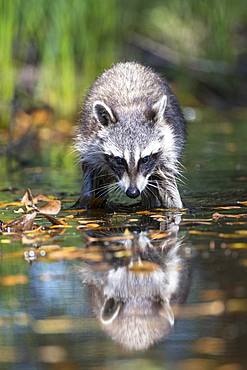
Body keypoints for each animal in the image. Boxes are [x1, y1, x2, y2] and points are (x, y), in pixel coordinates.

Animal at [74, 62, 186, 210]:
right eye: (119, 160)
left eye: (145, 159)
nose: (133, 192)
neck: (129, 108)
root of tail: (128, 64)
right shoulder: (90, 149)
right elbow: (90, 191)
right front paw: (86, 203)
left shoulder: (166, 152)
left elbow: (168, 189)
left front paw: (176, 207)